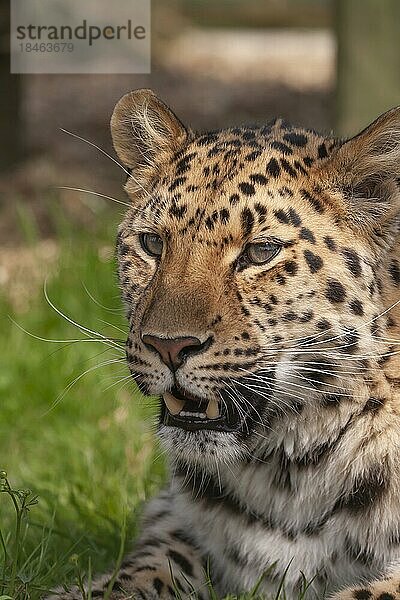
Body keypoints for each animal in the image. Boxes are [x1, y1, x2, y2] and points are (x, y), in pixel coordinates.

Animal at [48, 90, 400, 600]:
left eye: (260, 252)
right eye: (152, 244)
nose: (168, 346)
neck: (288, 474)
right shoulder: (176, 522)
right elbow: (139, 571)